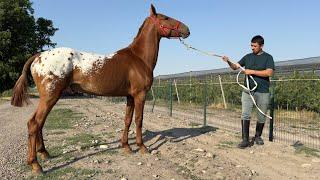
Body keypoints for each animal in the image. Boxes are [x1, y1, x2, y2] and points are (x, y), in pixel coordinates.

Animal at [10, 3, 190, 173]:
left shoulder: (130, 96)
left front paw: (126, 146)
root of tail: (39, 56)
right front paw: (142, 147)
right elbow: (139, 120)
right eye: (165, 17)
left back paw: (44, 153)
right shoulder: (140, 95)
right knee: (35, 123)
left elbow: (127, 120)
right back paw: (35, 165)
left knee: (39, 123)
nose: (187, 29)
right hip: (50, 96)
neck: (138, 58)